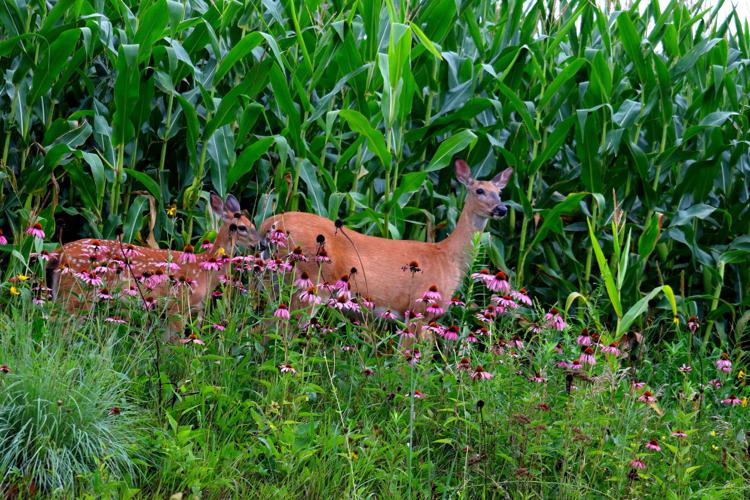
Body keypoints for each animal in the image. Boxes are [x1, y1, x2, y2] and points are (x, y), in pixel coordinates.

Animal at [48, 193, 260, 339]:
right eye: (240, 227)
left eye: (253, 224)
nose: (260, 244)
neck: (204, 271)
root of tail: (59, 252)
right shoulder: (178, 304)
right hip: (76, 294)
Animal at [259, 159, 513, 324]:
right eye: (479, 190)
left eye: (500, 193)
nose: (502, 209)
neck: (448, 257)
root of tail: (270, 223)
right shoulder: (420, 310)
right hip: (308, 282)